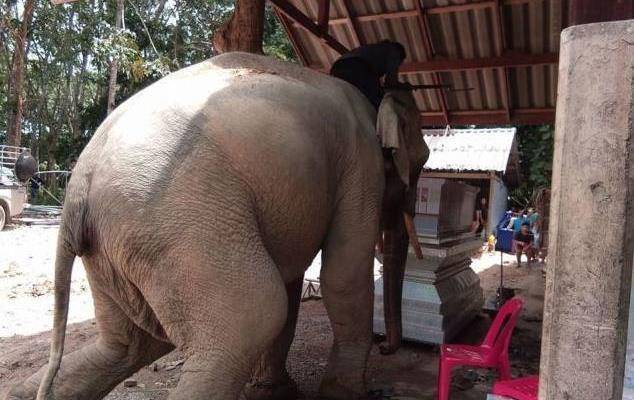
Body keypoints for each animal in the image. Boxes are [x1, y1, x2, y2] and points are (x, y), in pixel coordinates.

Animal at [4, 52, 428, 400]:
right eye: (422, 160)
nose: (390, 348)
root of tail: (80, 183)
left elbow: (293, 282)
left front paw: (276, 392)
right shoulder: (361, 165)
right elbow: (342, 276)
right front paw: (345, 394)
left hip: (116, 248)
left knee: (129, 343)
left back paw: (22, 392)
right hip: (182, 223)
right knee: (251, 315)